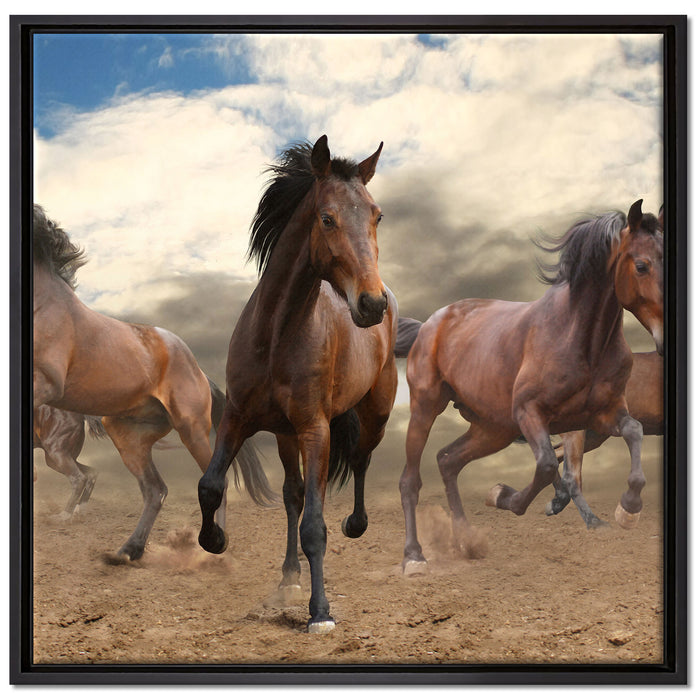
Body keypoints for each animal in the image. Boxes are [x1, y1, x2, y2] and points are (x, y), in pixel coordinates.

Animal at [32, 205, 275, 561]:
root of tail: (199, 371)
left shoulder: (49, 383)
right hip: (128, 435)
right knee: (154, 490)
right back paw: (128, 551)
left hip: (191, 428)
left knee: (214, 483)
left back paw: (213, 545)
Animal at [197, 135, 398, 633]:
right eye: (327, 217)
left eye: (376, 216)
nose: (371, 304)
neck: (276, 335)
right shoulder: (238, 418)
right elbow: (211, 485)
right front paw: (215, 540)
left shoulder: (315, 429)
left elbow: (315, 526)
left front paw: (320, 612)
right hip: (285, 435)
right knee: (293, 494)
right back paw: (289, 577)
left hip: (374, 414)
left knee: (359, 460)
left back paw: (355, 526)